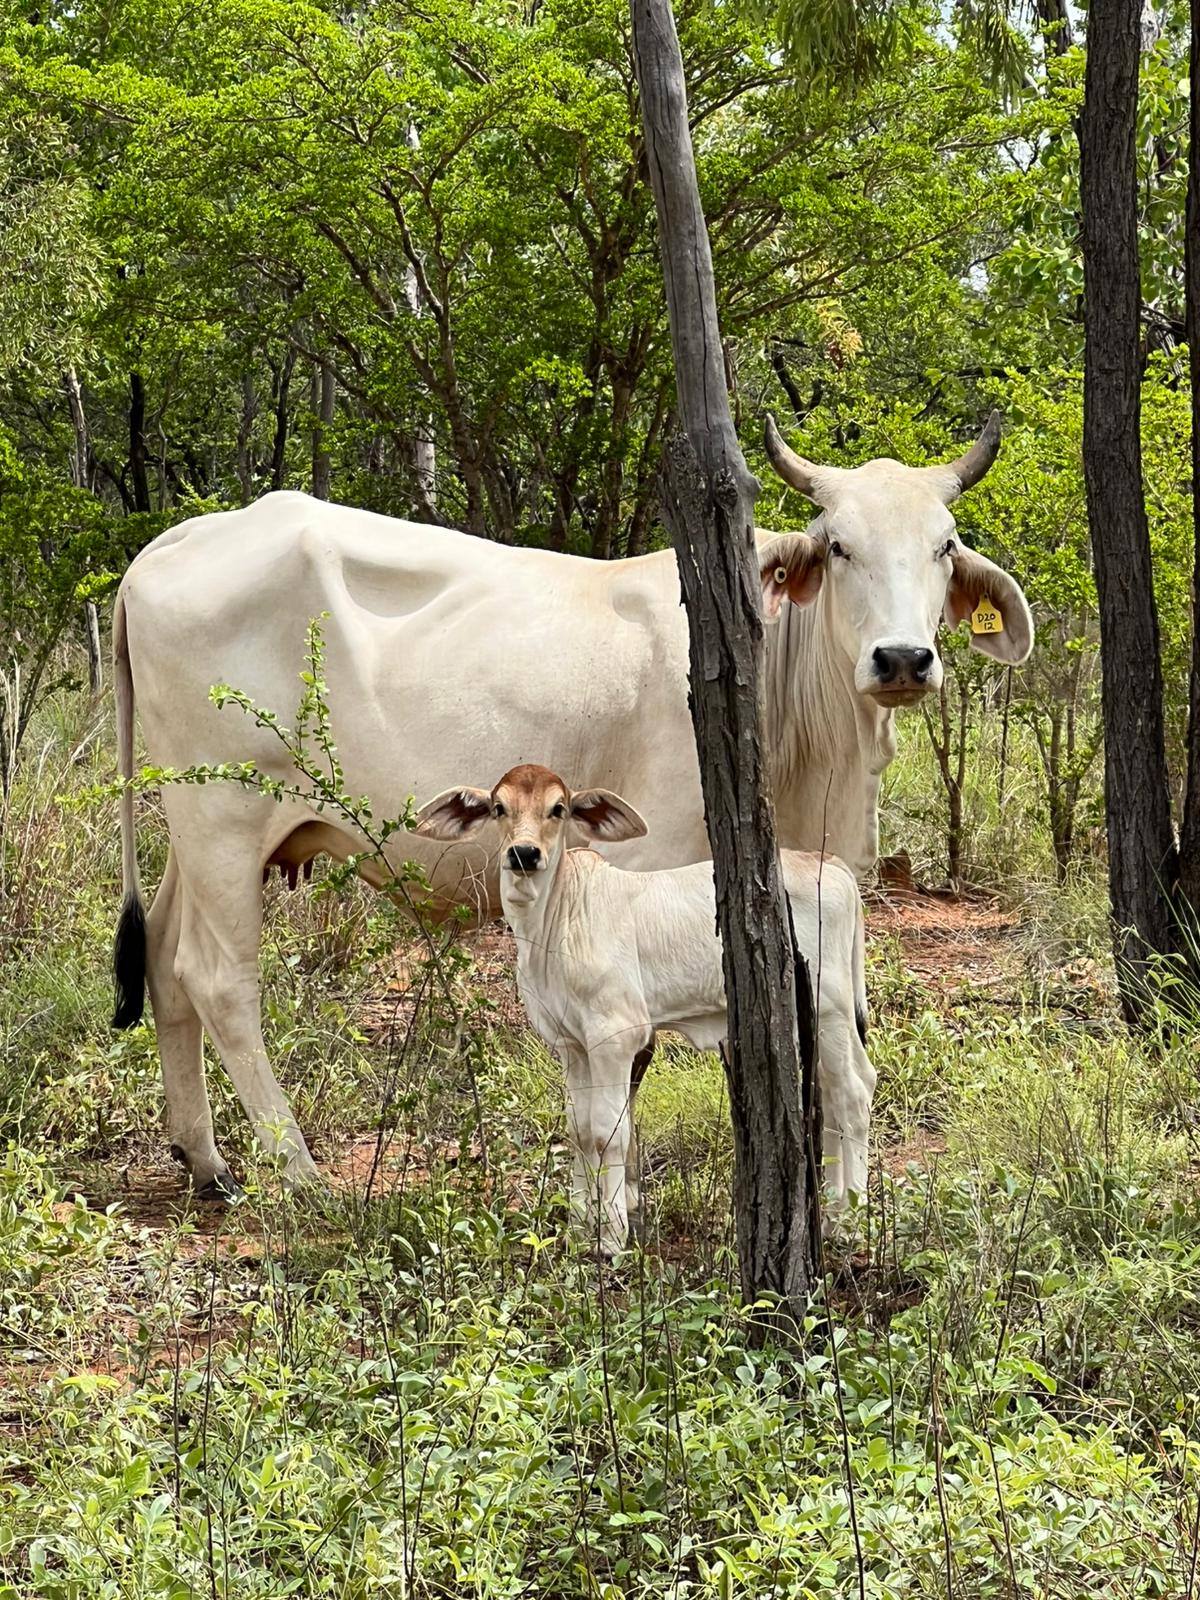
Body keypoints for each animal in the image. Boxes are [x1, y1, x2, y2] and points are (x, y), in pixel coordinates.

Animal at [110, 419, 1036, 1196]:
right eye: (839, 545)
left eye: (945, 546)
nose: (902, 659)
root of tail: (175, 540)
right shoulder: (653, 870)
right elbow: (635, 1065)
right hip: (223, 818)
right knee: (218, 980)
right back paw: (298, 1172)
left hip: (193, 835)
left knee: (162, 961)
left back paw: (205, 1159)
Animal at [416, 764, 876, 1260]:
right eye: (499, 808)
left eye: (558, 809)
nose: (524, 854)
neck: (550, 928)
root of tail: (830, 867)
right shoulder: (573, 1046)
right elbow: (579, 1130)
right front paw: (580, 1227)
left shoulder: (615, 1038)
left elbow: (608, 1132)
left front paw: (611, 1235)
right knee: (836, 1092)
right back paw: (833, 1210)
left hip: (830, 1011)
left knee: (851, 1094)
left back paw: (851, 1219)